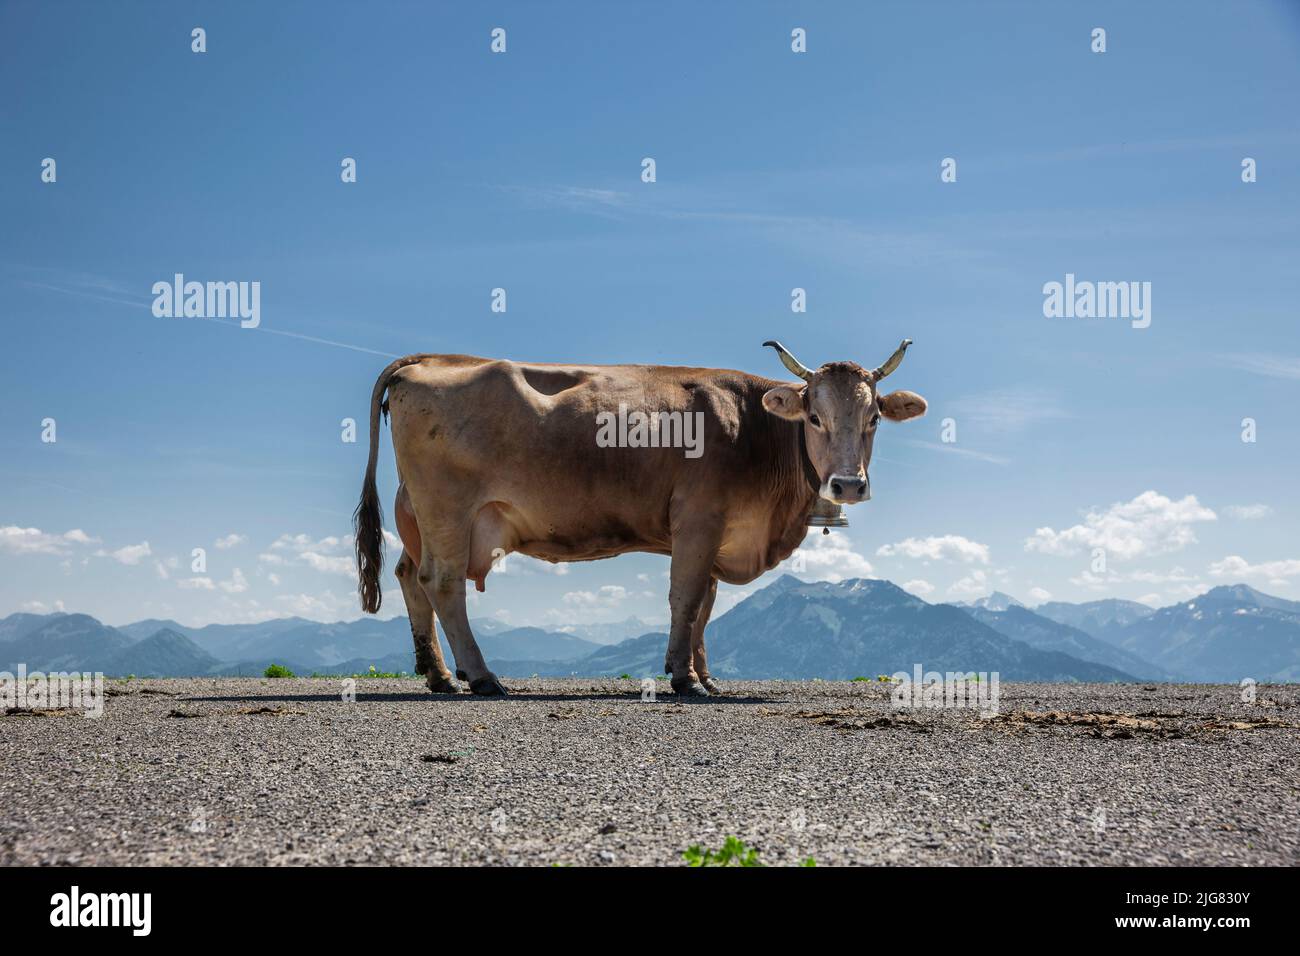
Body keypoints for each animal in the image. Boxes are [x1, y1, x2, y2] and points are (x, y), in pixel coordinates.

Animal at [353, 343, 925, 697]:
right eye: (813, 417)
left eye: (874, 418)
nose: (847, 485)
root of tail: (432, 359)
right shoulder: (699, 520)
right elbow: (687, 599)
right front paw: (684, 679)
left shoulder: (714, 534)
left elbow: (705, 607)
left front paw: (703, 675)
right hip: (447, 510)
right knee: (442, 583)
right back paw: (481, 676)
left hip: (419, 515)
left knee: (410, 577)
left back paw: (439, 675)